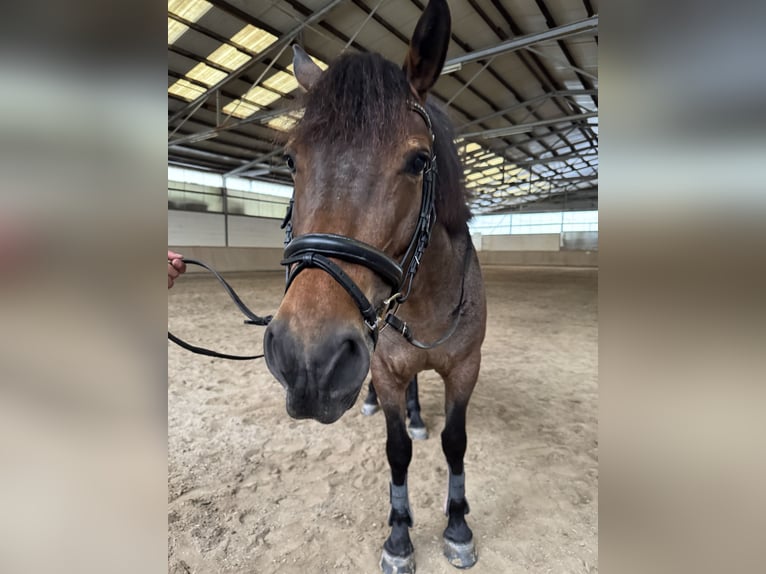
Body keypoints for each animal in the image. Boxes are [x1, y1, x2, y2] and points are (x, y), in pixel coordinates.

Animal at [263, 1, 487, 571]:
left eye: (419, 161)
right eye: (291, 160)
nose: (307, 360)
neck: (427, 303)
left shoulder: (465, 367)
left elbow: (455, 442)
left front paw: (458, 527)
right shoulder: (383, 369)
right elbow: (397, 451)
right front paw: (400, 536)